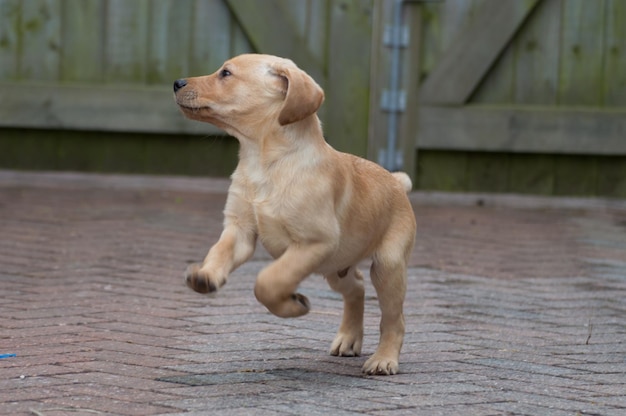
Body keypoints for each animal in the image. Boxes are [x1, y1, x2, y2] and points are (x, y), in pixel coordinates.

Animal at [172, 53, 414, 376]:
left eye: (226, 73)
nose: (177, 82)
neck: (263, 162)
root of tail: (397, 182)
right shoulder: (239, 230)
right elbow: (219, 252)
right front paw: (206, 276)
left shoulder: (313, 243)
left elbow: (269, 281)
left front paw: (294, 304)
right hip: (337, 268)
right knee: (357, 289)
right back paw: (348, 339)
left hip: (388, 266)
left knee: (393, 318)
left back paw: (383, 359)